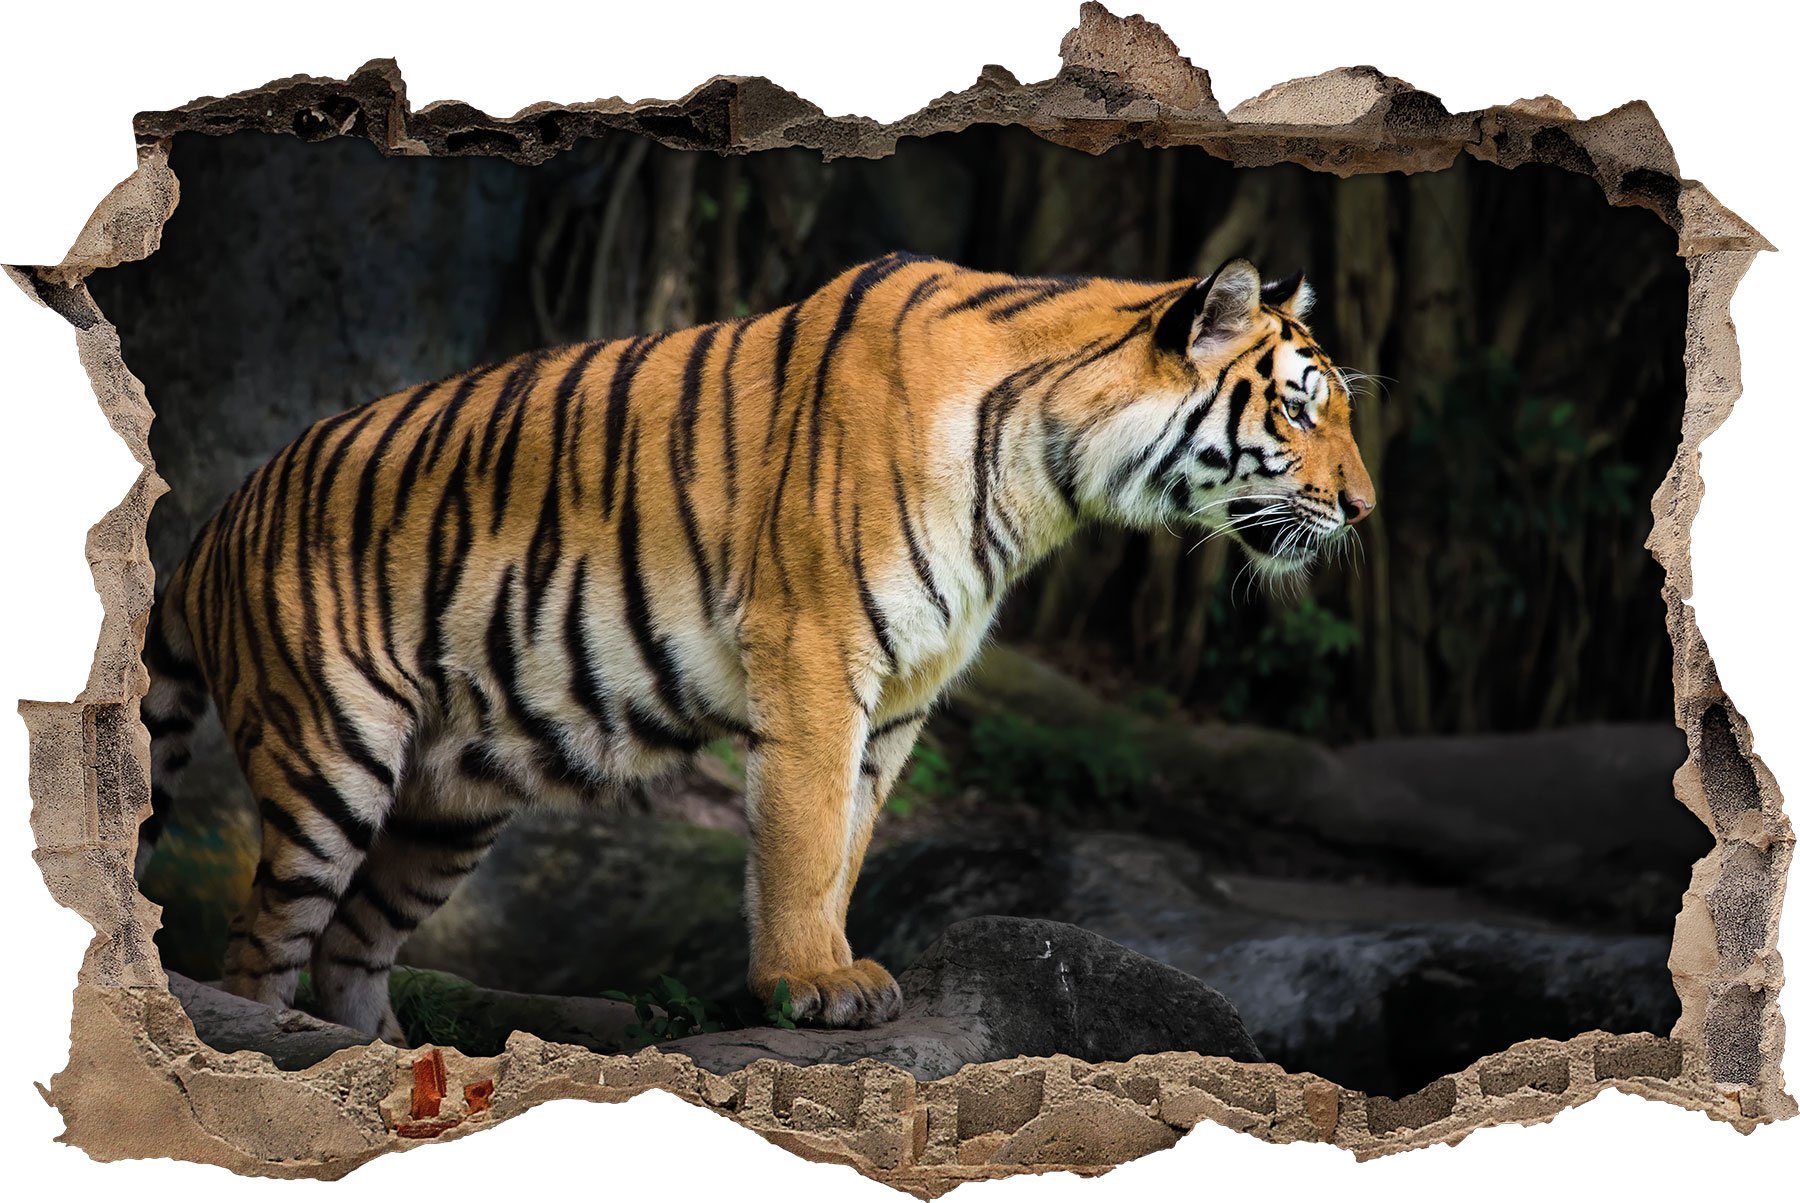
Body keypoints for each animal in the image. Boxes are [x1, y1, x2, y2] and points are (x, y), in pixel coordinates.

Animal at [137, 252, 1375, 1039]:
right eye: (1301, 409)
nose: (1365, 509)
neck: (1048, 481)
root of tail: (210, 524)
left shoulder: (905, 691)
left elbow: (849, 841)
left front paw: (831, 968)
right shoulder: (815, 649)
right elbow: (799, 832)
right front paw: (809, 986)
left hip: (451, 803)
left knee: (349, 952)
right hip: (330, 759)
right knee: (258, 947)